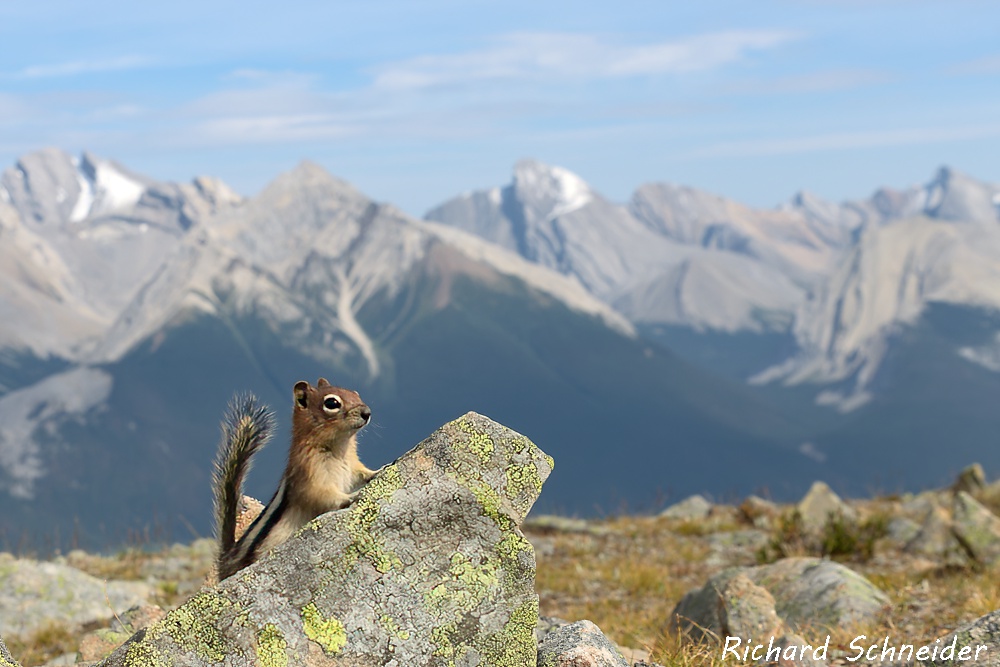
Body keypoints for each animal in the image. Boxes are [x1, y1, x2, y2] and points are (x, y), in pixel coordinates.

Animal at [213, 378, 374, 580]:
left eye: (355, 393)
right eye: (332, 403)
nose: (367, 412)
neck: (339, 449)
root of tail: (227, 561)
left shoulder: (352, 468)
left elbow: (362, 474)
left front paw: (377, 471)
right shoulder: (311, 480)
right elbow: (325, 496)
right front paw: (351, 496)